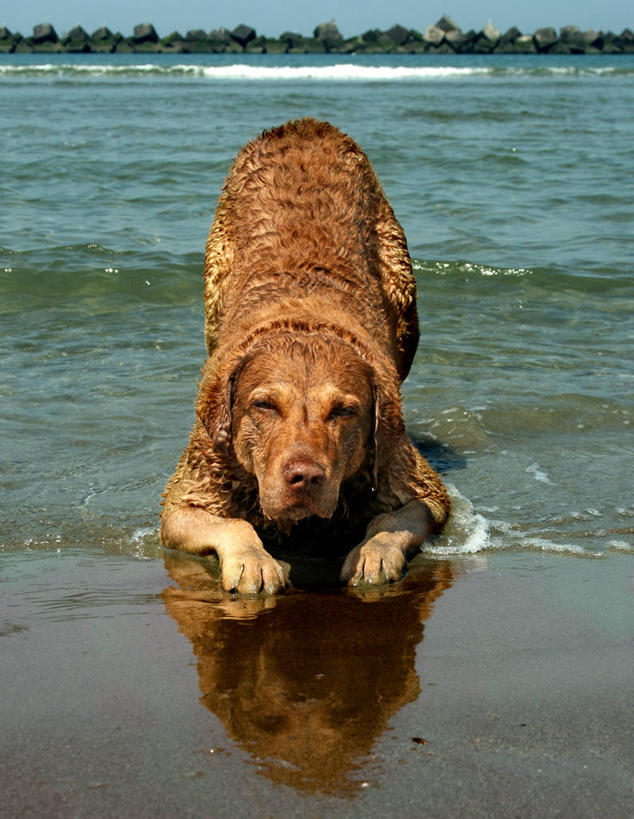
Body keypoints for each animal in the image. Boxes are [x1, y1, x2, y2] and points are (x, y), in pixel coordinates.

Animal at [162, 118, 450, 592]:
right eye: (264, 405)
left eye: (344, 411)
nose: (305, 477)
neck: (304, 325)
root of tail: (307, 125)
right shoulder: (189, 490)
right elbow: (231, 523)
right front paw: (254, 561)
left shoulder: (411, 478)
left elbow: (392, 518)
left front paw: (374, 554)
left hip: (402, 292)